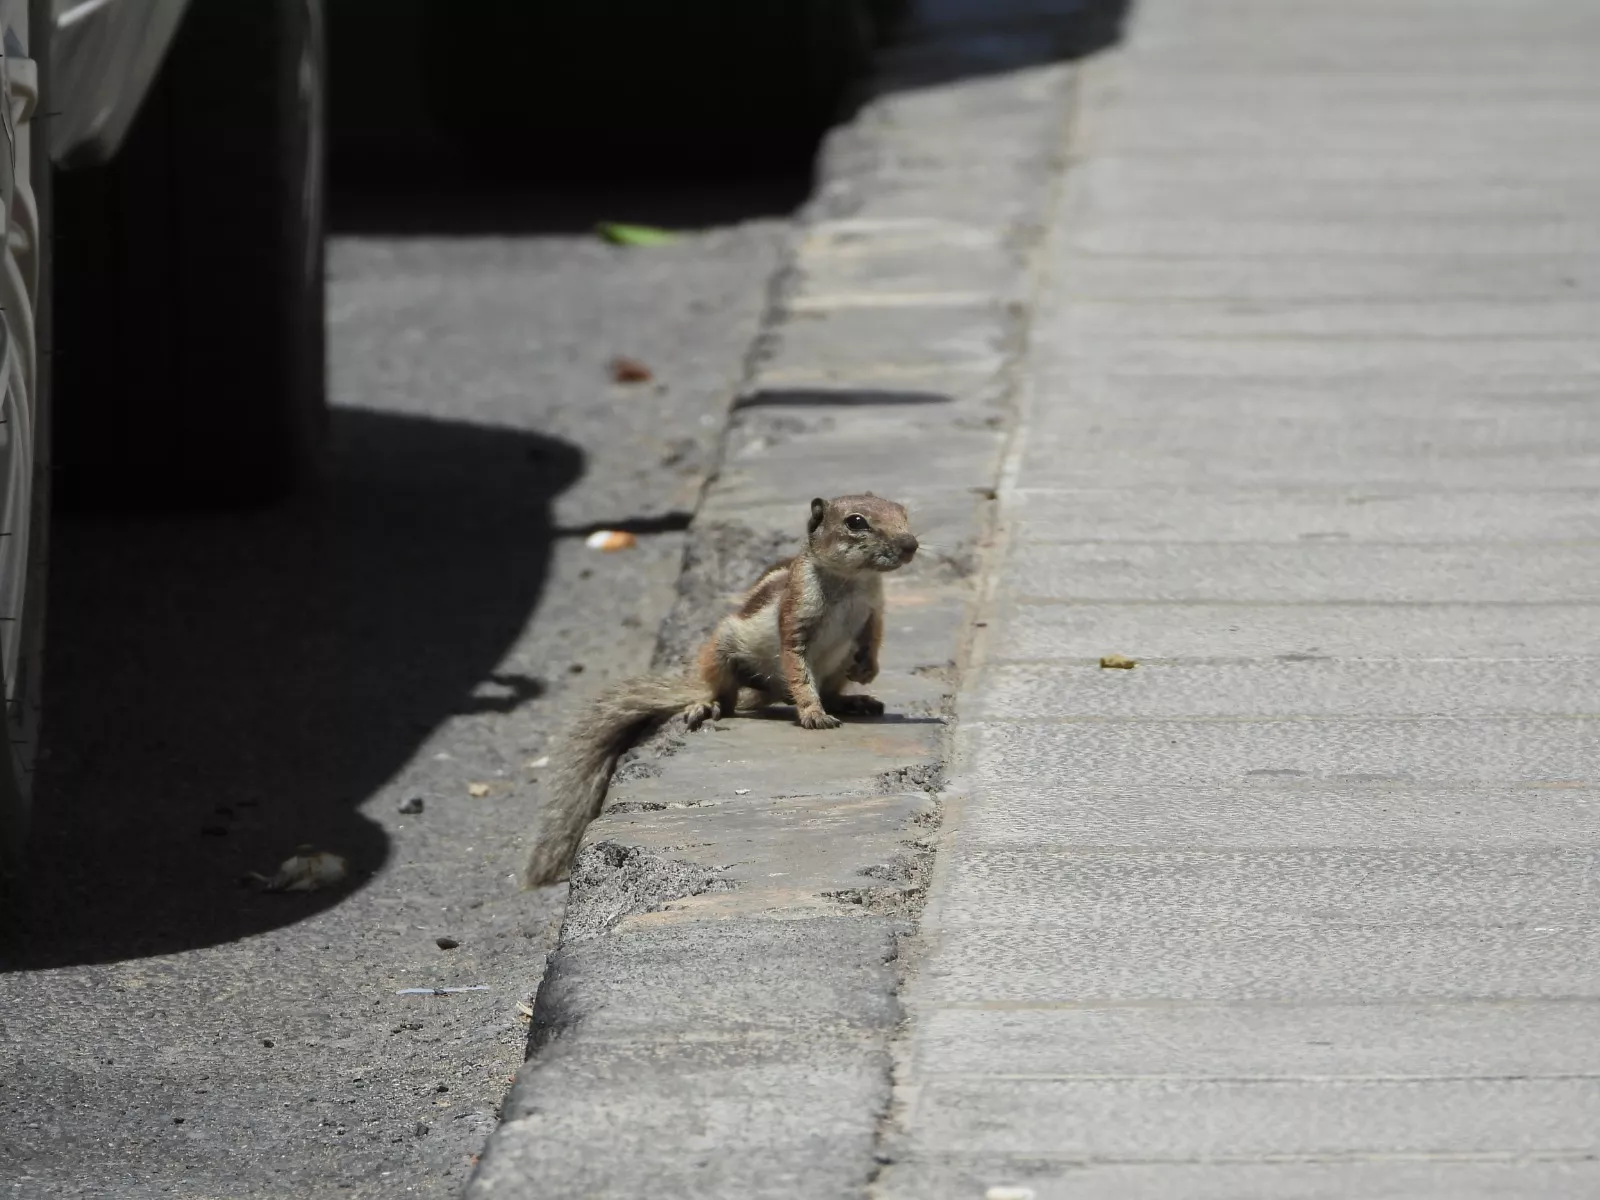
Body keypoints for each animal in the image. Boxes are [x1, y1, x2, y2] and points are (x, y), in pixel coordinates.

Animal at [523, 493, 919, 887]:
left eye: (903, 513)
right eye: (856, 522)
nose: (910, 544)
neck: (852, 581)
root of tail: (765, 693)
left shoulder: (874, 611)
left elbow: (873, 637)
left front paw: (867, 671)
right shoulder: (795, 618)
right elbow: (798, 670)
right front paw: (812, 713)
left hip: (831, 669)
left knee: (827, 689)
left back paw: (855, 700)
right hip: (721, 650)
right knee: (725, 696)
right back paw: (706, 704)